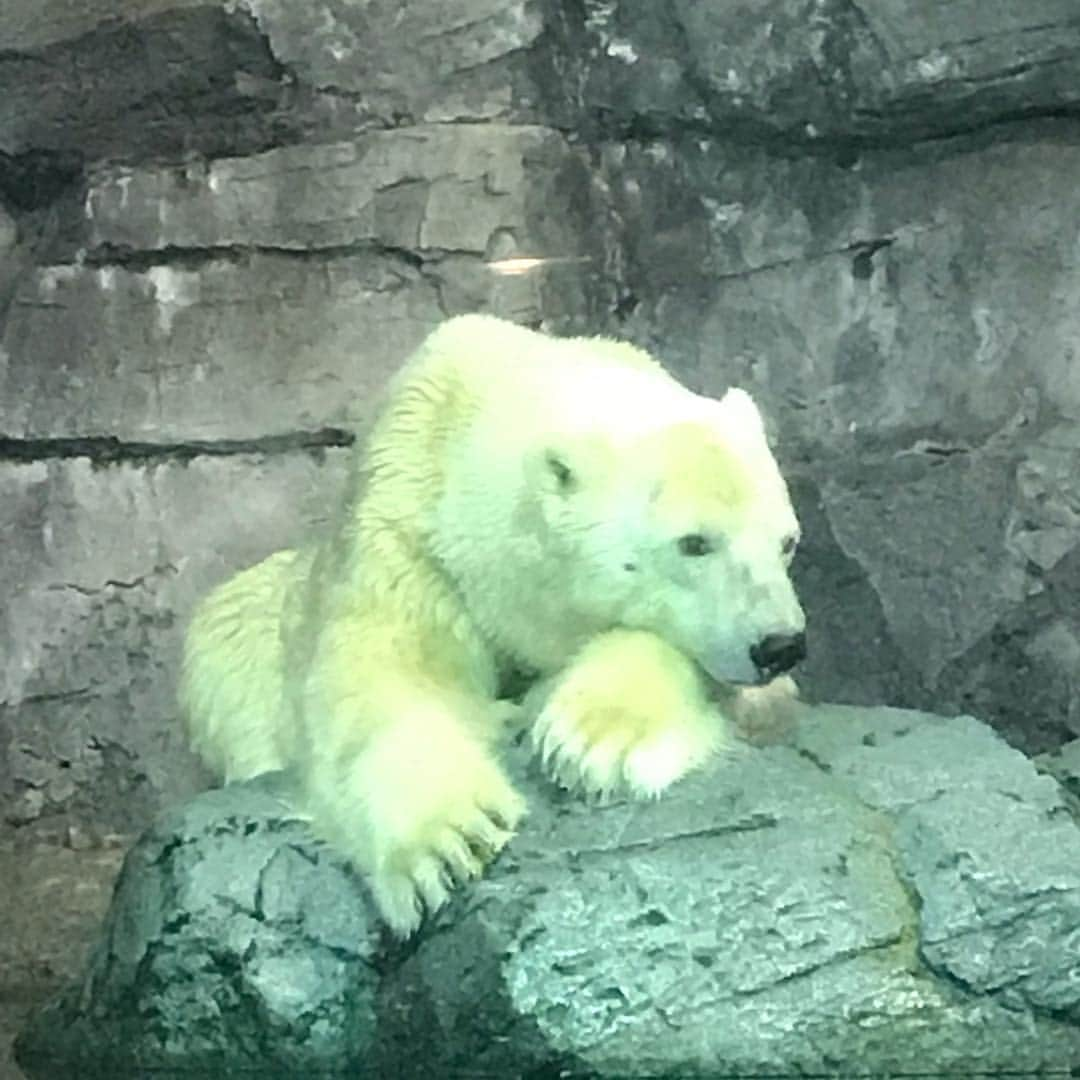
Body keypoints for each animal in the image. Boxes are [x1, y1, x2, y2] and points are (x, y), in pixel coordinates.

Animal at [179, 315, 803, 937]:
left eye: (788, 541)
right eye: (693, 542)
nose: (780, 645)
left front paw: (590, 741)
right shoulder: (403, 540)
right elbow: (375, 684)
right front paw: (451, 840)